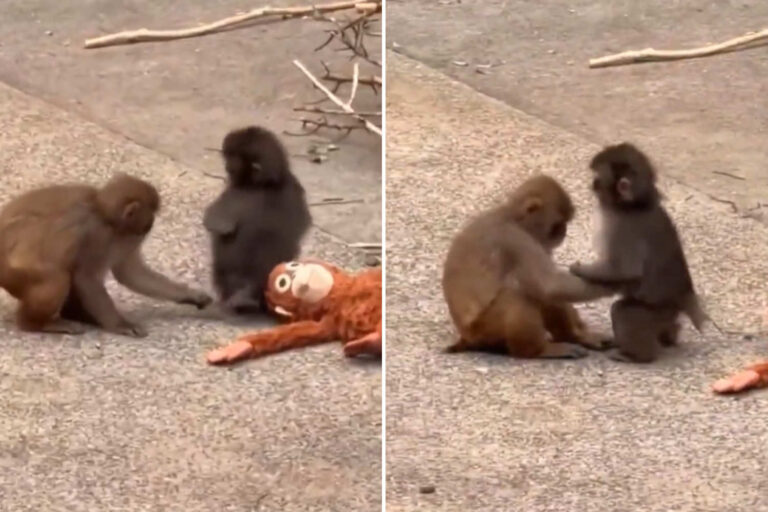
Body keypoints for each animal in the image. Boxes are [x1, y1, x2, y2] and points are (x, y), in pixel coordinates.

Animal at [0, 173, 212, 337]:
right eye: (149, 215)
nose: (150, 223)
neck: (101, 210)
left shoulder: (124, 238)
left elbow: (130, 273)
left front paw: (192, 295)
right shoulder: (99, 235)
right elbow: (86, 277)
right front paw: (120, 325)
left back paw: (75, 314)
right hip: (14, 272)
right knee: (57, 275)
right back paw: (34, 323)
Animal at [203, 126, 312, 315]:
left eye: (232, 160)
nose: (226, 166)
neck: (267, 183)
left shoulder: (234, 191)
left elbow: (215, 222)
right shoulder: (294, 188)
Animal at [442, 174, 616, 360]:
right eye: (557, 224)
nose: (563, 232)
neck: (512, 218)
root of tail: (465, 336)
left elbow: (551, 289)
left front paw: (581, 334)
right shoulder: (517, 239)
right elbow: (550, 285)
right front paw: (611, 285)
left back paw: (572, 337)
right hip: (483, 330)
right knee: (517, 296)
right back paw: (538, 351)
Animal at [569, 142, 706, 363]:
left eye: (598, 177)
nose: (592, 183)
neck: (634, 205)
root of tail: (683, 300)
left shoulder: (623, 228)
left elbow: (625, 270)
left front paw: (580, 269)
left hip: (657, 309)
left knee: (623, 311)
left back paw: (637, 356)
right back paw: (670, 335)